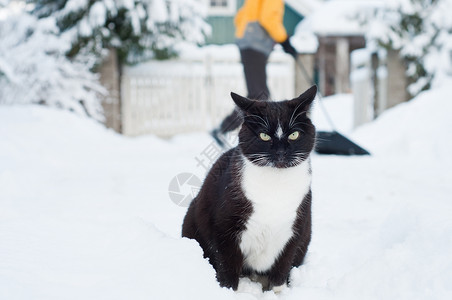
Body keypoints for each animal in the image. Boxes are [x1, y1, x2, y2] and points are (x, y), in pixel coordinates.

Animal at [182, 85, 316, 292]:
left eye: (294, 134)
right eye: (264, 135)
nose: (281, 152)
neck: (276, 187)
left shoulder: (295, 231)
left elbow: (282, 270)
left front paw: (277, 293)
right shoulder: (225, 230)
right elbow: (227, 268)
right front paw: (228, 292)